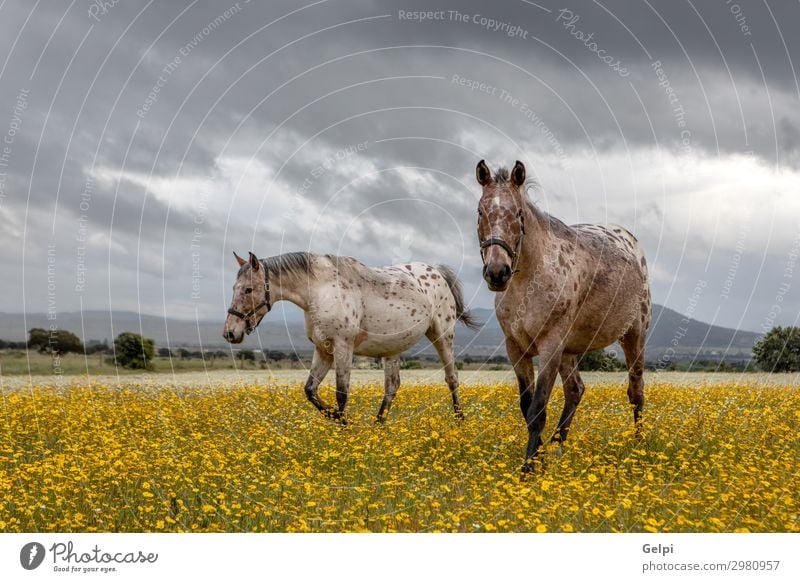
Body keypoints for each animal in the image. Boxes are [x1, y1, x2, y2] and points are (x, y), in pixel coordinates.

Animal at [476, 160, 648, 474]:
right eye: (481, 212)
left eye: (518, 213)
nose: (497, 272)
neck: (528, 282)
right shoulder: (516, 349)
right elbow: (527, 407)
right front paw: (540, 458)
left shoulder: (550, 347)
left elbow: (538, 408)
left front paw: (528, 469)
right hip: (570, 351)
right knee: (575, 390)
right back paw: (559, 448)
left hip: (634, 335)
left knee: (636, 392)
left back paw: (639, 444)